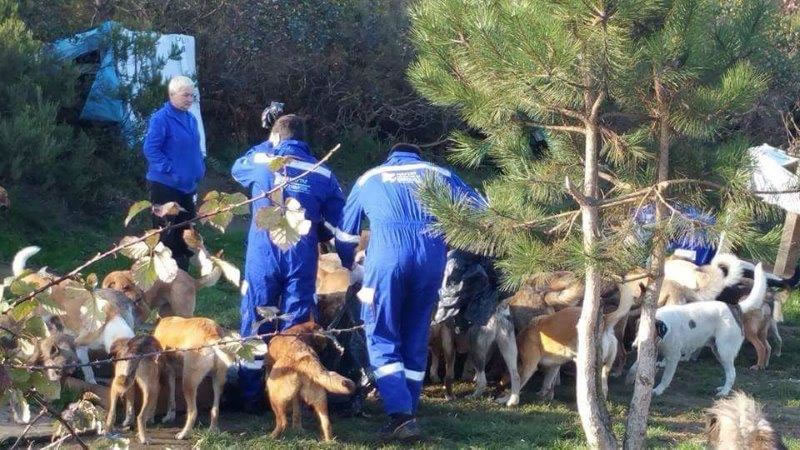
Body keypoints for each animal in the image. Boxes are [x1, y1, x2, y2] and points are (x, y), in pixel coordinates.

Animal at [628, 264, 764, 398]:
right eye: (636, 332)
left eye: (648, 333)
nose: (634, 347)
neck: (665, 330)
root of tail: (735, 307)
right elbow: (637, 367)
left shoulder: (673, 357)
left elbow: (666, 378)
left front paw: (658, 390)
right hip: (718, 351)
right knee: (728, 372)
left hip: (724, 351)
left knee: (732, 373)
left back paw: (724, 392)